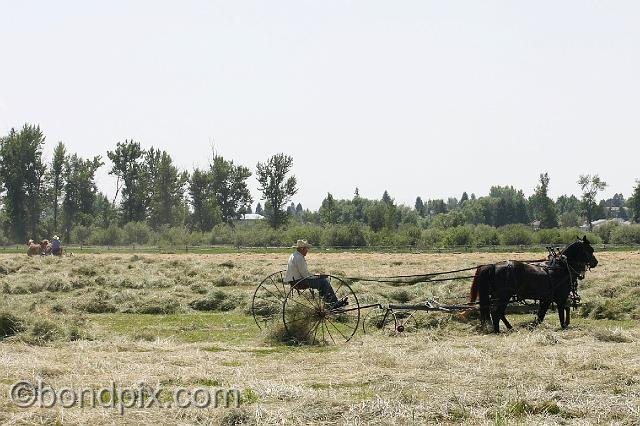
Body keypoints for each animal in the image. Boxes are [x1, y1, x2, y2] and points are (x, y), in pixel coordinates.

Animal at [469, 236, 598, 333]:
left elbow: (542, 314)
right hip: (503, 295)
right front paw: (564, 325)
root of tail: (493, 266)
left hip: (499, 296)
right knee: (496, 312)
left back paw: (509, 327)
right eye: (590, 249)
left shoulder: (546, 299)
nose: (595, 262)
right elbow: (562, 310)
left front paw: (534, 325)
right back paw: (497, 330)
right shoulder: (560, 297)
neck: (561, 267)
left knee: (498, 312)